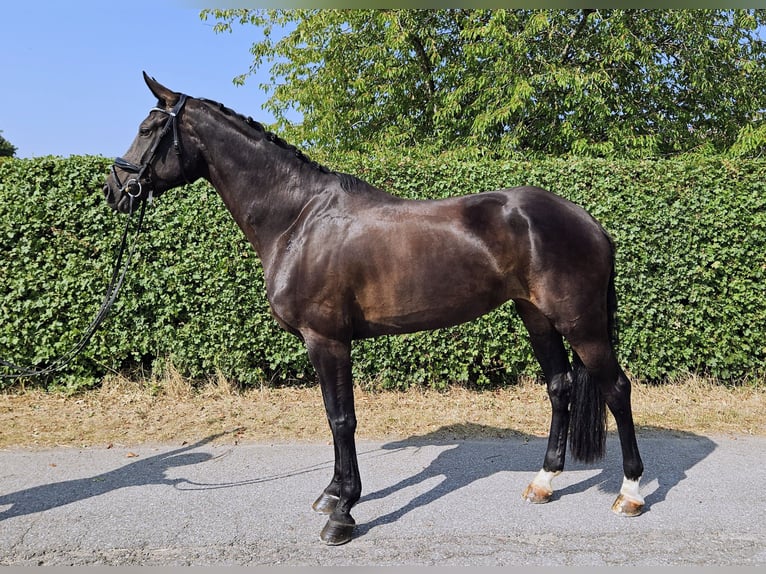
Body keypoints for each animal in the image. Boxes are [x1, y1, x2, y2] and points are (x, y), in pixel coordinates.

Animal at [104, 72, 645, 545]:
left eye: (148, 129)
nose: (114, 191)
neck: (299, 219)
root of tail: (590, 223)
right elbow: (332, 417)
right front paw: (332, 495)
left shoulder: (327, 340)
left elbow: (342, 420)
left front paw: (343, 514)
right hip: (537, 316)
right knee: (560, 387)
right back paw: (544, 482)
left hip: (581, 323)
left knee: (617, 389)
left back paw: (630, 493)